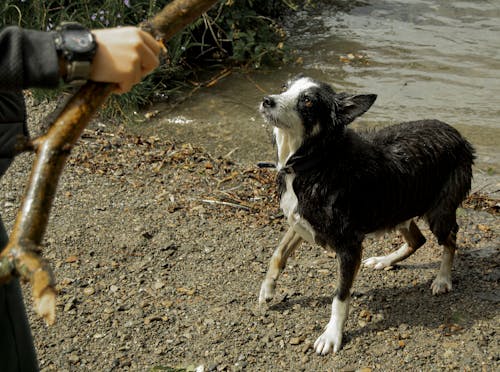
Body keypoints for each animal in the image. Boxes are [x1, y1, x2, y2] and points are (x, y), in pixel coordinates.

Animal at [260, 75, 474, 354]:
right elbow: (277, 254)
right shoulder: (300, 221)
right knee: (418, 240)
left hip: (438, 212)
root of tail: (458, 136)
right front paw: (267, 289)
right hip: (396, 207)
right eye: (285, 87)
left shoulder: (349, 245)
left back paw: (442, 278)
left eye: (307, 101)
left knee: (450, 240)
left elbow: (340, 295)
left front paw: (332, 335)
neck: (316, 160)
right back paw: (385, 260)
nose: (267, 100)